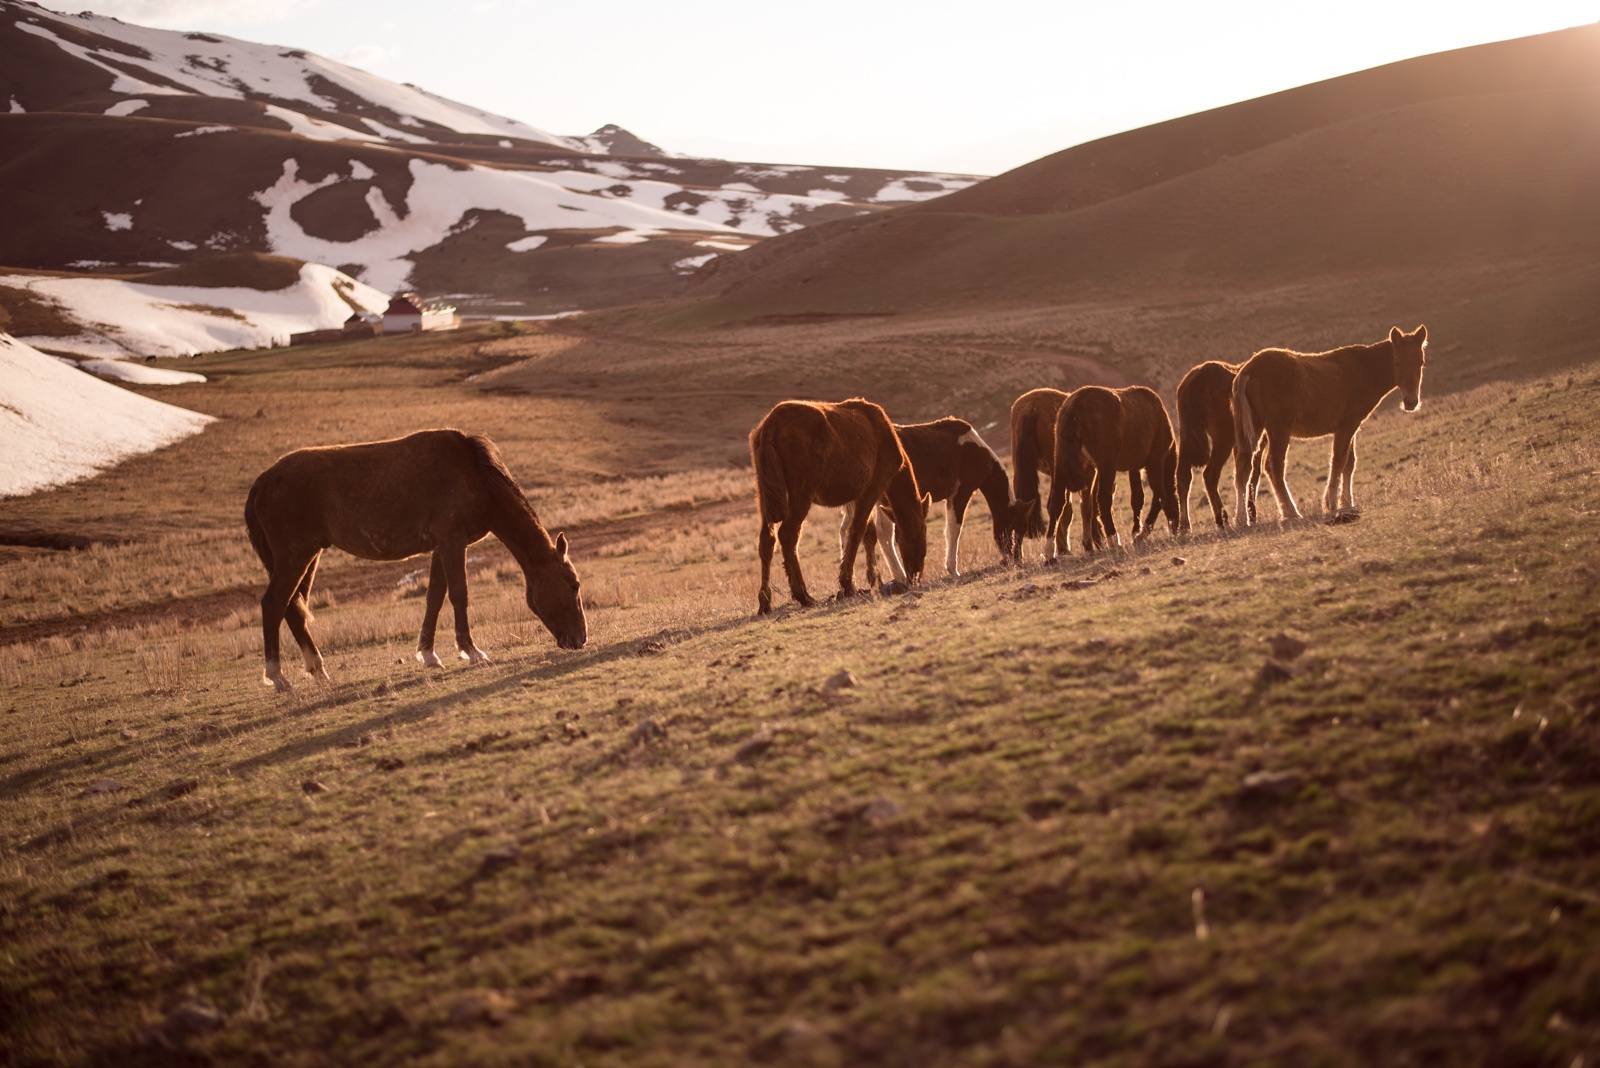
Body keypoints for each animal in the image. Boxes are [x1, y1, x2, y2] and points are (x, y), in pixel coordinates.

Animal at [752, 398, 934, 617]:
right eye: (921, 532)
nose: (916, 576)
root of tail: (770, 425)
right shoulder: (872, 488)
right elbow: (857, 531)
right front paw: (848, 584)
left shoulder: (856, 498)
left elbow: (868, 534)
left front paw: (873, 579)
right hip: (800, 494)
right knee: (788, 536)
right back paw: (803, 596)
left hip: (765, 495)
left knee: (766, 540)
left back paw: (765, 602)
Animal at [851, 418, 1024, 585]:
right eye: (1014, 529)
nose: (1017, 559)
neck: (977, 451)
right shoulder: (961, 492)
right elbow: (954, 529)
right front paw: (953, 570)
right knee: (884, 531)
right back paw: (898, 575)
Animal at [1043, 383, 1184, 556]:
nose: (1176, 528)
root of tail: (1073, 408)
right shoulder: (1155, 462)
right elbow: (1160, 496)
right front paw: (1140, 535)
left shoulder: (1133, 467)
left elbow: (1137, 499)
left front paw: (1136, 532)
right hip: (1107, 466)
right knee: (1103, 500)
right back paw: (1113, 540)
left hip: (1063, 464)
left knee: (1057, 501)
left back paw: (1050, 551)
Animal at [1177, 362, 1260, 534]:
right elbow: (1253, 473)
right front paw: (1250, 514)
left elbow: (1243, 474)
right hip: (1223, 438)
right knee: (1210, 474)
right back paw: (1222, 519)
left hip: (1186, 435)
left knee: (1183, 475)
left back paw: (1184, 525)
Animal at [1228, 326, 1433, 524]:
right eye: (1396, 362)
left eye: (1421, 362)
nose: (1410, 402)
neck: (1363, 370)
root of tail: (1248, 370)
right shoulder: (1347, 426)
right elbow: (1339, 462)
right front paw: (1332, 504)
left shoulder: (1352, 427)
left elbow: (1349, 463)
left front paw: (1347, 502)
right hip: (1279, 429)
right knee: (1274, 466)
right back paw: (1291, 512)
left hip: (1255, 427)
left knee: (1243, 468)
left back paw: (1241, 519)